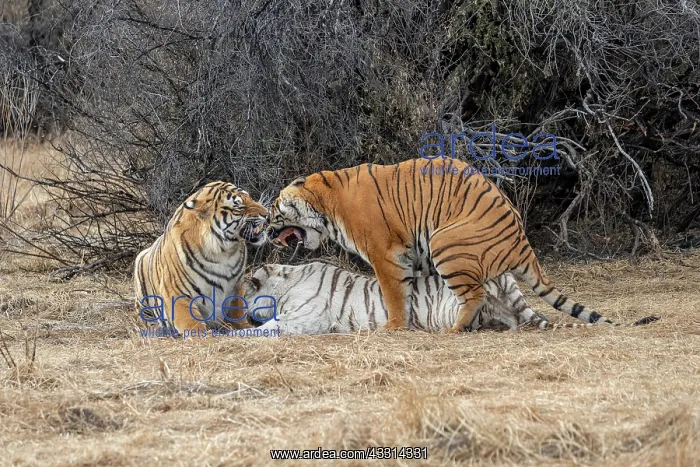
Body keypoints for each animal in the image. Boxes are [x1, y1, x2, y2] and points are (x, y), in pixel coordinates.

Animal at [134, 181, 268, 336]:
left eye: (250, 197)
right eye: (239, 207)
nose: (267, 214)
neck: (224, 252)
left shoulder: (236, 286)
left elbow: (238, 313)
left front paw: (247, 328)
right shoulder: (175, 291)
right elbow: (192, 323)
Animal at [267, 158, 659, 332]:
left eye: (275, 210)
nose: (267, 230)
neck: (325, 201)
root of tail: (522, 242)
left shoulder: (386, 255)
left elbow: (393, 293)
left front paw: (393, 327)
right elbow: (410, 292)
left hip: (445, 241)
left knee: (475, 295)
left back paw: (455, 328)